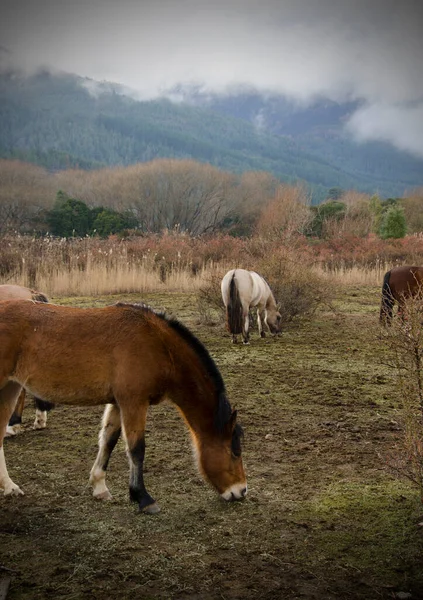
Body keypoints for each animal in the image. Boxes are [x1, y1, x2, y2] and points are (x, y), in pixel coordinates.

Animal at [0, 300, 248, 510]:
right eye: (235, 450)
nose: (242, 490)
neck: (158, 344)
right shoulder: (134, 403)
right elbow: (137, 449)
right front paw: (142, 497)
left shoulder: (118, 404)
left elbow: (108, 441)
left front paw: (99, 486)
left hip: (10, 388)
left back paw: (9, 486)